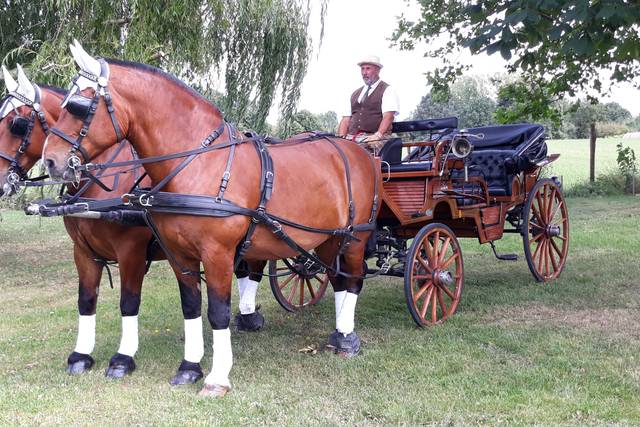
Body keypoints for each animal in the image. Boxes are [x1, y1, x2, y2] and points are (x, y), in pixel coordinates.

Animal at [0, 66, 264, 384]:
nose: (52, 162)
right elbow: (86, 300)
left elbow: (128, 302)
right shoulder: (83, 252)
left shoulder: (131, 252)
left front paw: (123, 358)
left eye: (16, 123)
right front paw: (81, 355)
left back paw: (249, 315)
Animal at [41, 41, 380, 396]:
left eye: (79, 106)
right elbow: (190, 307)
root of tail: (358, 151)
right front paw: (189, 367)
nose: (51, 161)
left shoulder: (213, 254)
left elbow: (217, 312)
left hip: (355, 237)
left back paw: (348, 338)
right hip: (329, 238)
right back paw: (339, 333)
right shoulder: (178, 256)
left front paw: (217, 377)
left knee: (353, 280)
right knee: (338, 279)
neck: (200, 163)